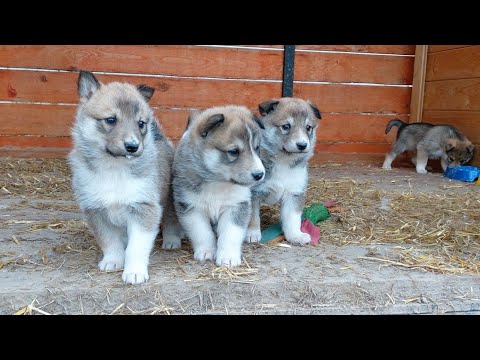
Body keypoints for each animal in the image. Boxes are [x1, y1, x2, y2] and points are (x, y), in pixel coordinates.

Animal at [66, 70, 181, 284]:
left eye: (141, 124)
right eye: (111, 120)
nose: (133, 146)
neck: (114, 167)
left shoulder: (144, 207)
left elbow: (137, 247)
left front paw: (134, 272)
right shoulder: (96, 211)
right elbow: (109, 241)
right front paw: (112, 261)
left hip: (169, 198)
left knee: (171, 219)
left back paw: (171, 241)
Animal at [172, 105, 264, 266]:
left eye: (257, 148)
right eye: (233, 151)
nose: (260, 174)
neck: (218, 182)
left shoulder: (236, 206)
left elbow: (230, 234)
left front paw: (228, 257)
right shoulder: (191, 207)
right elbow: (201, 232)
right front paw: (206, 251)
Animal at [246, 97, 320, 246]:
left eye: (308, 127)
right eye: (286, 126)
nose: (302, 145)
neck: (283, 160)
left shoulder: (294, 192)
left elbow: (293, 218)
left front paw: (295, 236)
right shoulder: (253, 193)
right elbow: (253, 216)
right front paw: (252, 233)